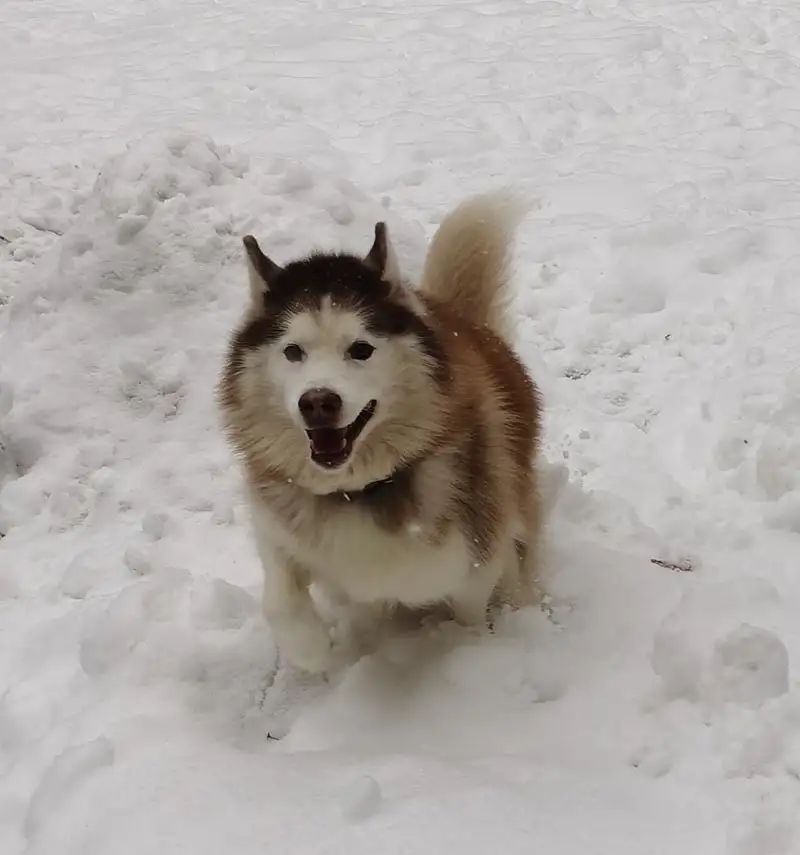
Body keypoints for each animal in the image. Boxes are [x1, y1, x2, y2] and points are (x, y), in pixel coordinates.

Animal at [219, 194, 544, 676]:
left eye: (361, 349)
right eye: (293, 351)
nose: (317, 402)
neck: (357, 491)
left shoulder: (476, 556)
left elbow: (468, 612)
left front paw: (466, 652)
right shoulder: (277, 523)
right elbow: (280, 603)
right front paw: (316, 652)